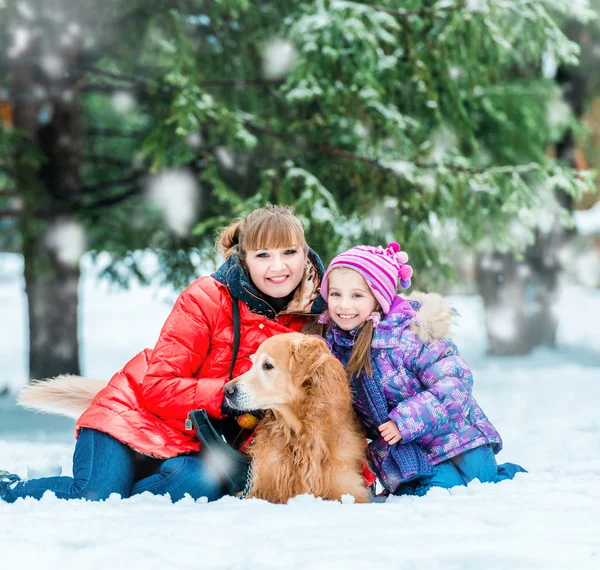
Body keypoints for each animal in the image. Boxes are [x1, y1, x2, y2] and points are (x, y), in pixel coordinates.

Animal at [225, 330, 370, 504]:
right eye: (252, 363)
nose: (226, 390)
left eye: (267, 365)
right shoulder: (261, 487)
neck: (298, 431)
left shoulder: (348, 489)